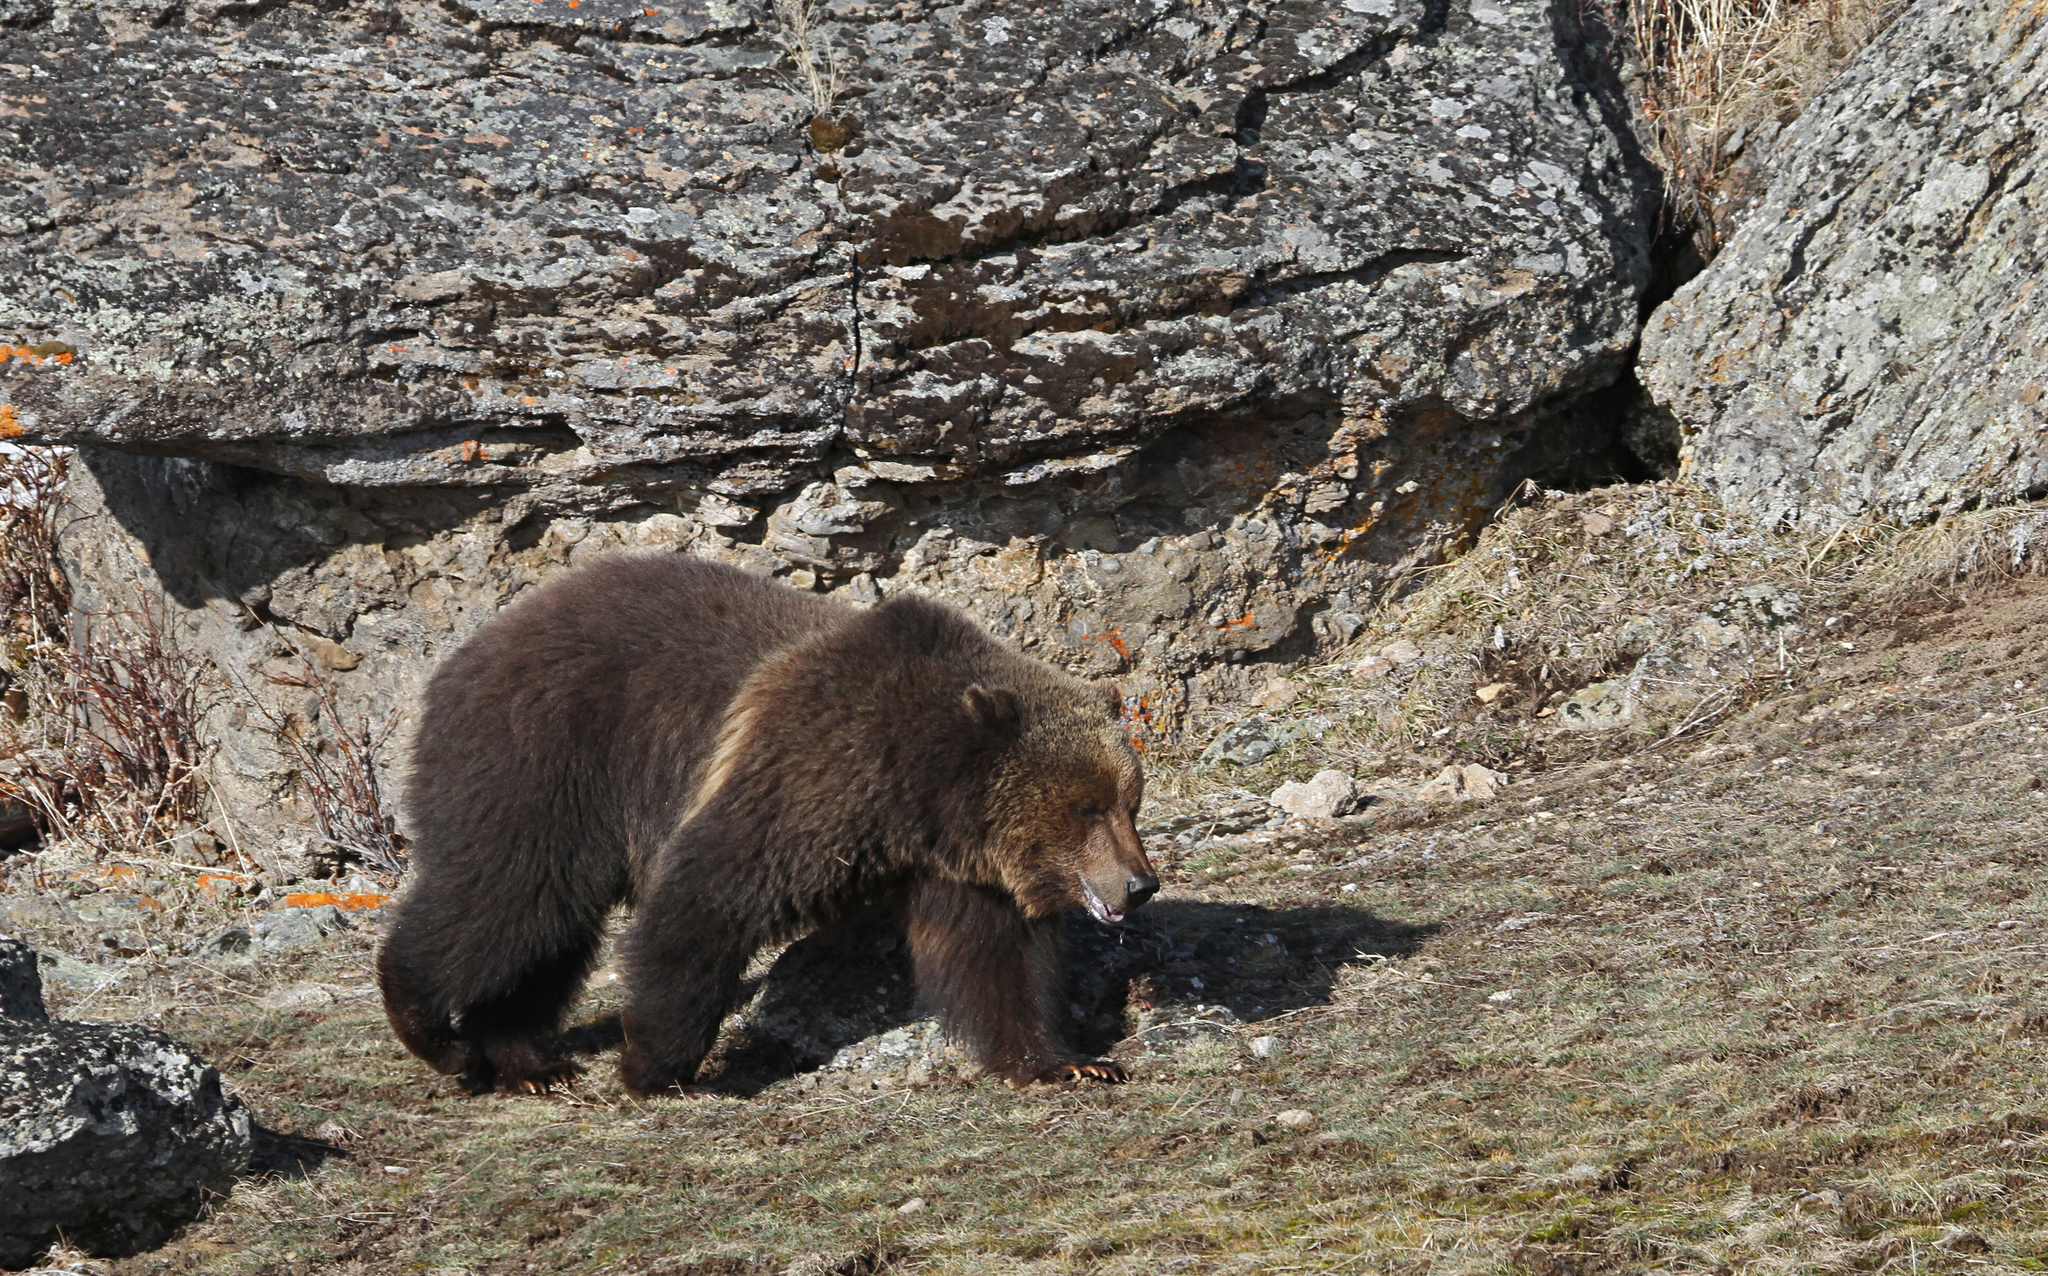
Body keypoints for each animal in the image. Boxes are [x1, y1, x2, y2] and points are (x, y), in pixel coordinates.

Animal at [376, 557, 1163, 1097]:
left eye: (1129, 800)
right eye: (1088, 806)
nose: (1140, 884)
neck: (915, 791)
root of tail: (470, 648)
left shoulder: (964, 869)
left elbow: (999, 962)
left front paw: (1071, 1063)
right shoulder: (809, 774)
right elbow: (707, 898)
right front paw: (656, 1065)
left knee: (547, 934)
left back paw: (527, 1059)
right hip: (543, 760)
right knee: (508, 898)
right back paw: (433, 1030)